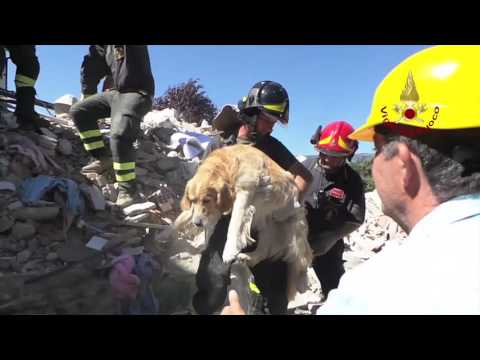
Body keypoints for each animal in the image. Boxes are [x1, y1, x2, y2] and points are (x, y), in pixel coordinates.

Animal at [171, 143, 314, 300]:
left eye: (207, 200)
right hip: (267, 228)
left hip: (293, 231)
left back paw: (302, 279)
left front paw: (229, 250)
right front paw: (165, 235)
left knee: (304, 257)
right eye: (192, 200)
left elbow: (234, 223)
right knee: (264, 251)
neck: (230, 163)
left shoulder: (244, 192)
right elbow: (181, 219)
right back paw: (249, 258)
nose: (197, 224)